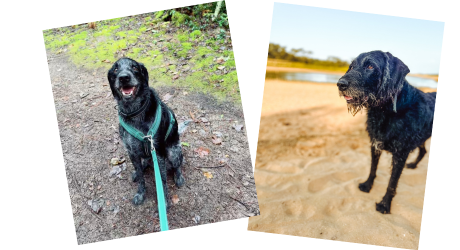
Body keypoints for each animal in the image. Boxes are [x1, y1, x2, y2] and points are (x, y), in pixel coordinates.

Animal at [108, 57, 185, 206]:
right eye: (115, 69)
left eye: (134, 67)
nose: (124, 77)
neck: (134, 113)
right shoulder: (131, 151)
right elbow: (141, 178)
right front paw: (140, 193)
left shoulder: (159, 153)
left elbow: (162, 181)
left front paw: (163, 201)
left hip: (173, 151)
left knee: (177, 165)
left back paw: (178, 177)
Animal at [336, 50, 436, 213]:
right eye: (351, 66)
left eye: (370, 66)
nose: (340, 84)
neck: (385, 110)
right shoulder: (375, 144)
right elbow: (373, 169)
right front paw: (368, 185)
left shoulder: (400, 154)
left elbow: (392, 183)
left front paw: (385, 204)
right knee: (423, 151)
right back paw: (413, 165)